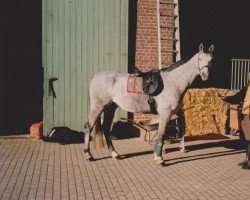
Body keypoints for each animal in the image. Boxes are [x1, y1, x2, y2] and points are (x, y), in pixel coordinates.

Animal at [83, 43, 214, 166]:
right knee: (88, 127)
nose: (205, 75)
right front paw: (160, 159)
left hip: (110, 108)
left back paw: (115, 154)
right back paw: (88, 155)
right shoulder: (165, 113)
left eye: (211, 60)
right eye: (199, 59)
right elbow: (161, 135)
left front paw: (157, 155)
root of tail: (95, 77)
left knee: (105, 128)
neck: (173, 82)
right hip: (97, 108)